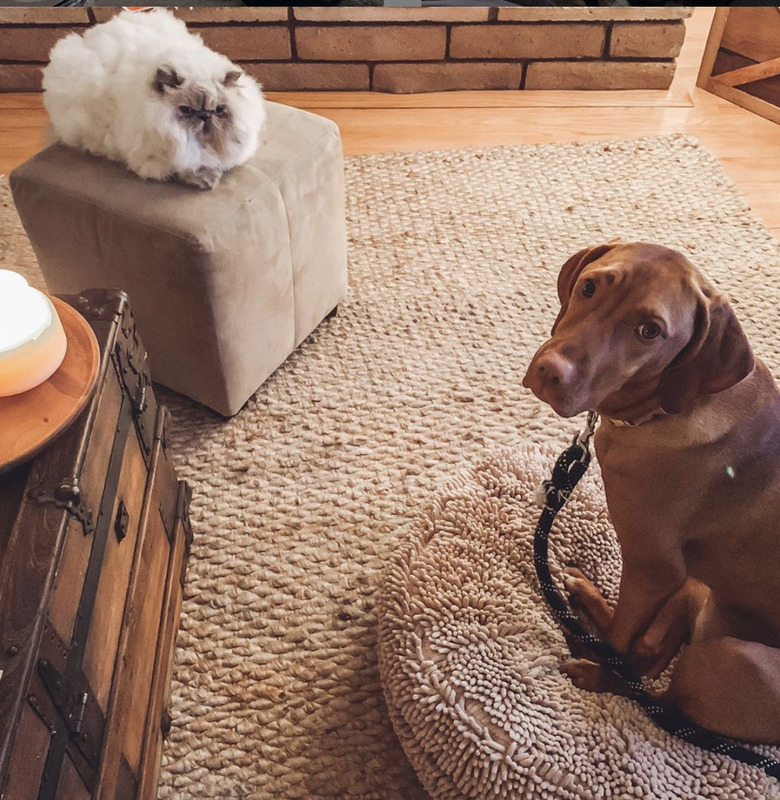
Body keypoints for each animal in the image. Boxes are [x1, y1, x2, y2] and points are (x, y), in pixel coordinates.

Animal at [43, 10, 268, 188]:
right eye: (186, 110)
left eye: (219, 110)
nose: (204, 116)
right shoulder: (153, 159)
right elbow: (184, 169)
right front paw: (206, 180)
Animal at [520, 242, 780, 744]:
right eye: (589, 287)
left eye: (649, 331)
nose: (548, 372)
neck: (664, 411)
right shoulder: (666, 574)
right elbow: (626, 636)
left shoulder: (654, 566)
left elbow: (621, 642)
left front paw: (595, 668)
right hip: (701, 590)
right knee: (651, 652)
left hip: (728, 660)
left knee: (657, 695)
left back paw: (594, 667)